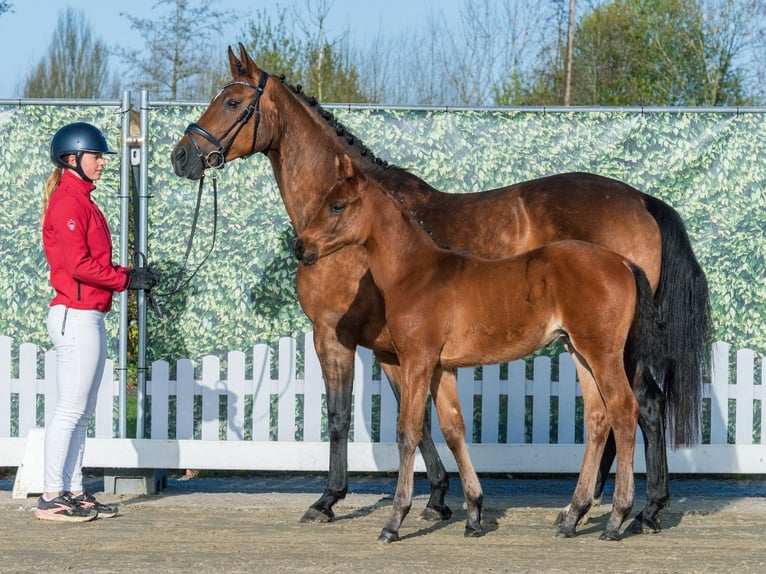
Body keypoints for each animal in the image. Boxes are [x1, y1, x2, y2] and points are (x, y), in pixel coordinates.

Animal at [293, 153, 664, 542]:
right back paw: (572, 516)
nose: (301, 247)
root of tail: (623, 262)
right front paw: (473, 515)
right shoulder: (442, 367)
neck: (417, 273)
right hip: (579, 352)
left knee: (625, 410)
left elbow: (408, 431)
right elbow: (453, 428)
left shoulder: (416, 360)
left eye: (337, 205)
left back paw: (617, 518)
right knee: (598, 418)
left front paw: (394, 522)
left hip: (603, 353)